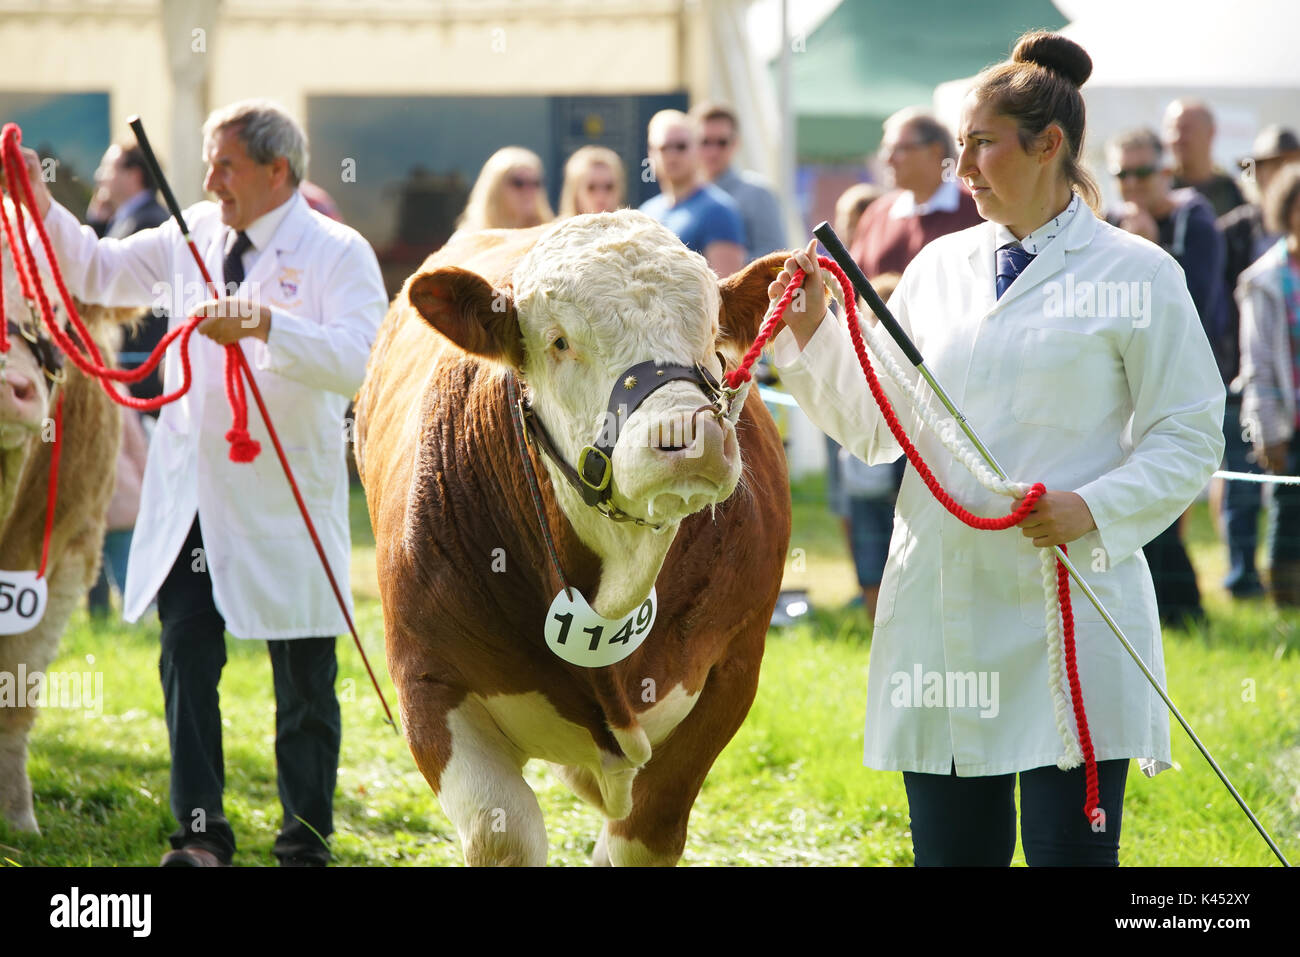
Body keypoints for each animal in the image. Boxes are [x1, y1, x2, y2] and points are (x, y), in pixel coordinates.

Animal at [356, 210, 795, 868]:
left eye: (713, 334)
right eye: (559, 341)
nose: (687, 433)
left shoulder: (733, 669)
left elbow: (643, 835)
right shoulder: (426, 680)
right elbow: (503, 832)